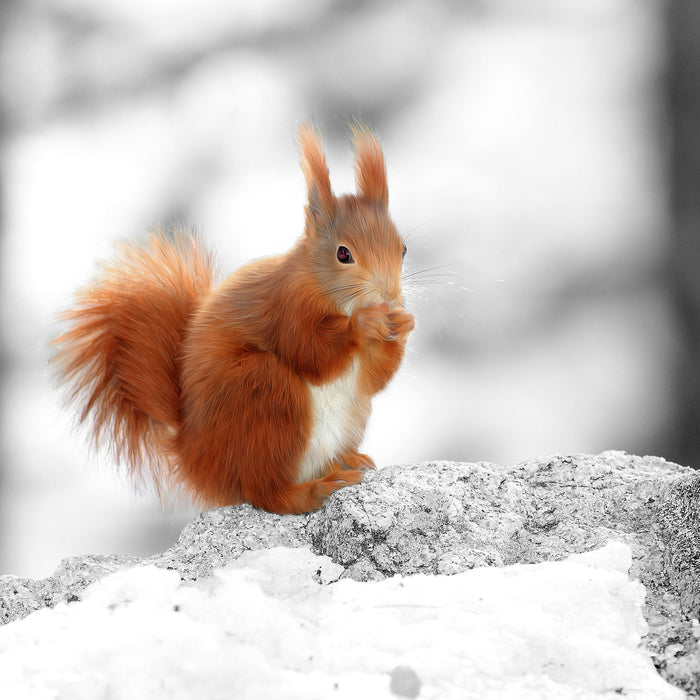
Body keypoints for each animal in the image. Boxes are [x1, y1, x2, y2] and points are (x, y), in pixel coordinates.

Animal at [54, 123, 416, 516]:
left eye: (403, 249)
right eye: (343, 254)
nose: (390, 295)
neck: (332, 295)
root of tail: (195, 459)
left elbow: (373, 379)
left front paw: (404, 324)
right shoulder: (286, 307)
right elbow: (309, 352)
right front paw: (363, 324)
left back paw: (347, 461)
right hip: (262, 395)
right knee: (266, 493)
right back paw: (314, 490)